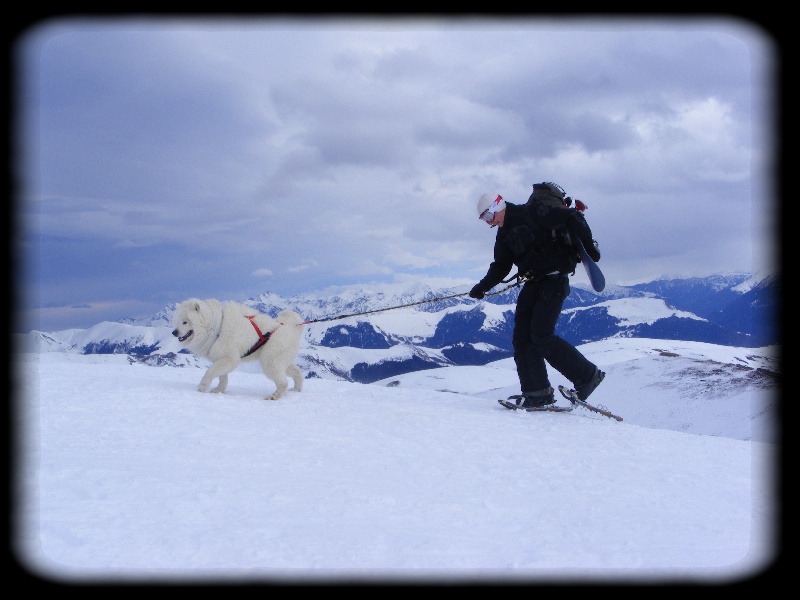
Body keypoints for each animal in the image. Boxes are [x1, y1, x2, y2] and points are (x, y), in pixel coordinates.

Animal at [170, 298, 304, 400]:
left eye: (185, 322)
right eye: (177, 321)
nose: (174, 332)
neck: (217, 328)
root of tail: (291, 326)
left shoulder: (230, 358)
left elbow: (210, 371)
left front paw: (202, 387)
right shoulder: (221, 357)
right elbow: (222, 376)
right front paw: (219, 389)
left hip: (270, 359)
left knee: (283, 381)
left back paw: (275, 396)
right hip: (280, 358)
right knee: (297, 371)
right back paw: (296, 389)